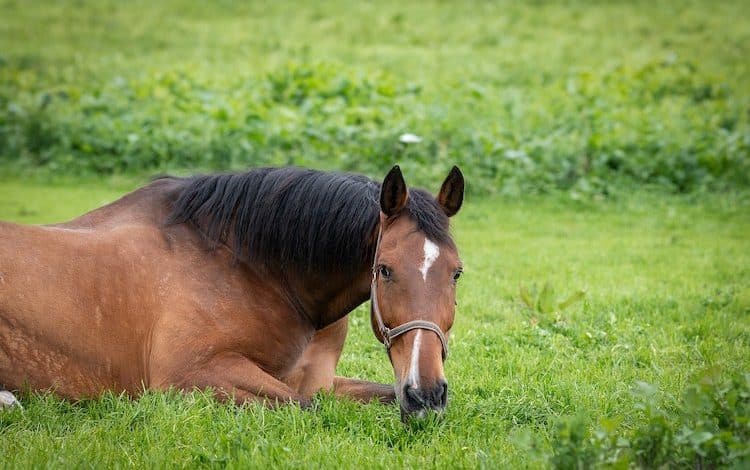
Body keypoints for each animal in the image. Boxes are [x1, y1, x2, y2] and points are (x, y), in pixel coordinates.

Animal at [0, 164, 464, 418]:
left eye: (456, 273)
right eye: (384, 270)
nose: (425, 394)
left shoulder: (320, 381)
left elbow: (370, 395)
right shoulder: (192, 375)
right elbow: (307, 408)